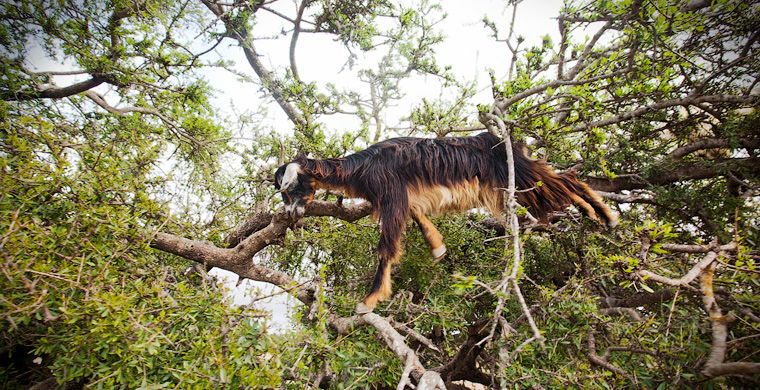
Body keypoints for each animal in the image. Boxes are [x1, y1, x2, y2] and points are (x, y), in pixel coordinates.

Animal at [274, 133, 616, 312]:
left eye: (292, 188)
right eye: (282, 192)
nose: (291, 214)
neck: (361, 167)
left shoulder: (391, 195)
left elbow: (387, 247)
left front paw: (370, 300)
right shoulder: (404, 197)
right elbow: (418, 217)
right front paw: (438, 248)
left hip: (520, 178)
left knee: (565, 182)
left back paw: (605, 213)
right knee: (561, 181)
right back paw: (598, 215)